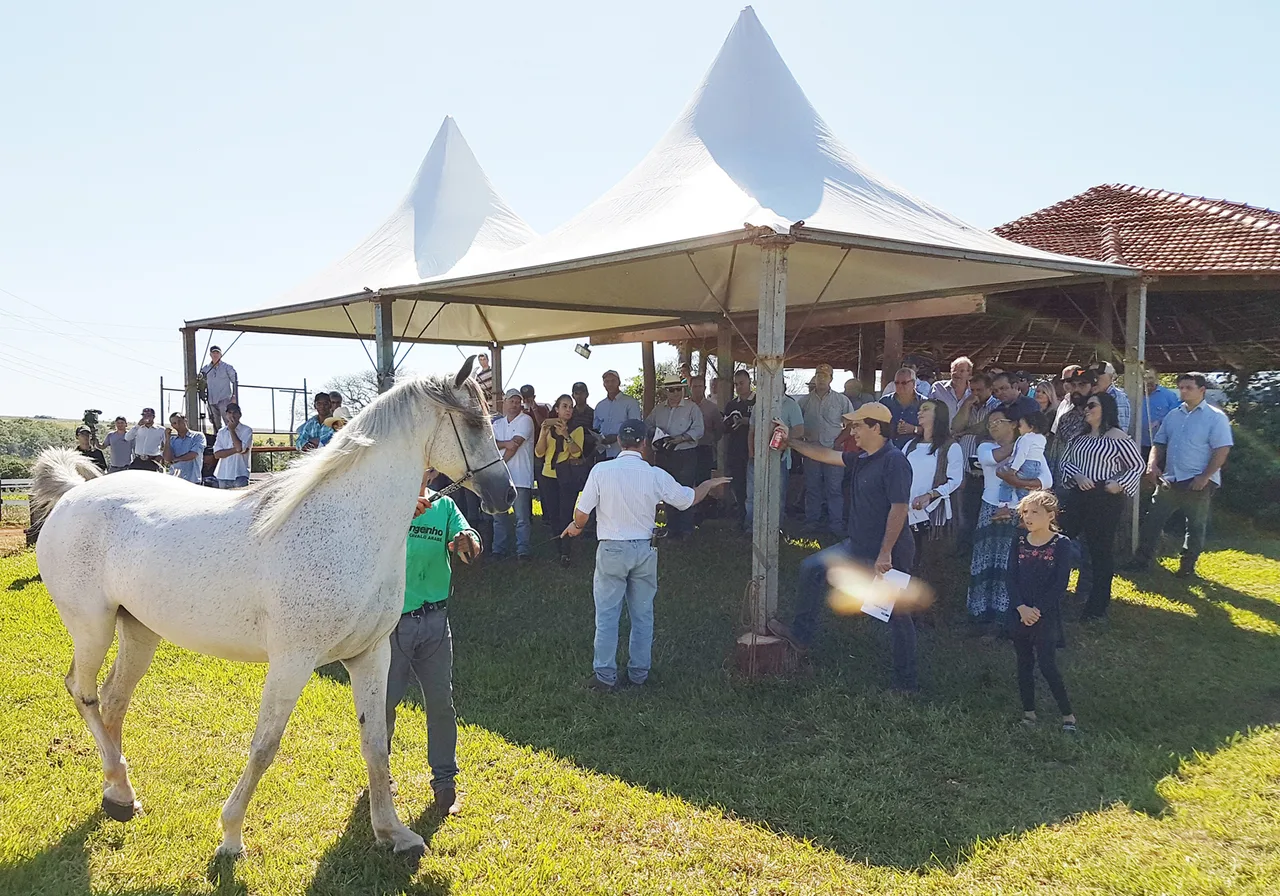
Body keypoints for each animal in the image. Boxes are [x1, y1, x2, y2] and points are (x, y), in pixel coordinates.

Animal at [31, 358, 509, 860]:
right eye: (473, 423)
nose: (507, 495)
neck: (346, 525)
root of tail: (72, 495)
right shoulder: (292, 661)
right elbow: (265, 745)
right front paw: (230, 836)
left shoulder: (371, 655)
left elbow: (377, 743)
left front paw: (393, 833)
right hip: (92, 628)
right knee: (83, 692)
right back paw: (120, 789)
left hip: (139, 632)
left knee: (114, 699)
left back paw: (120, 795)